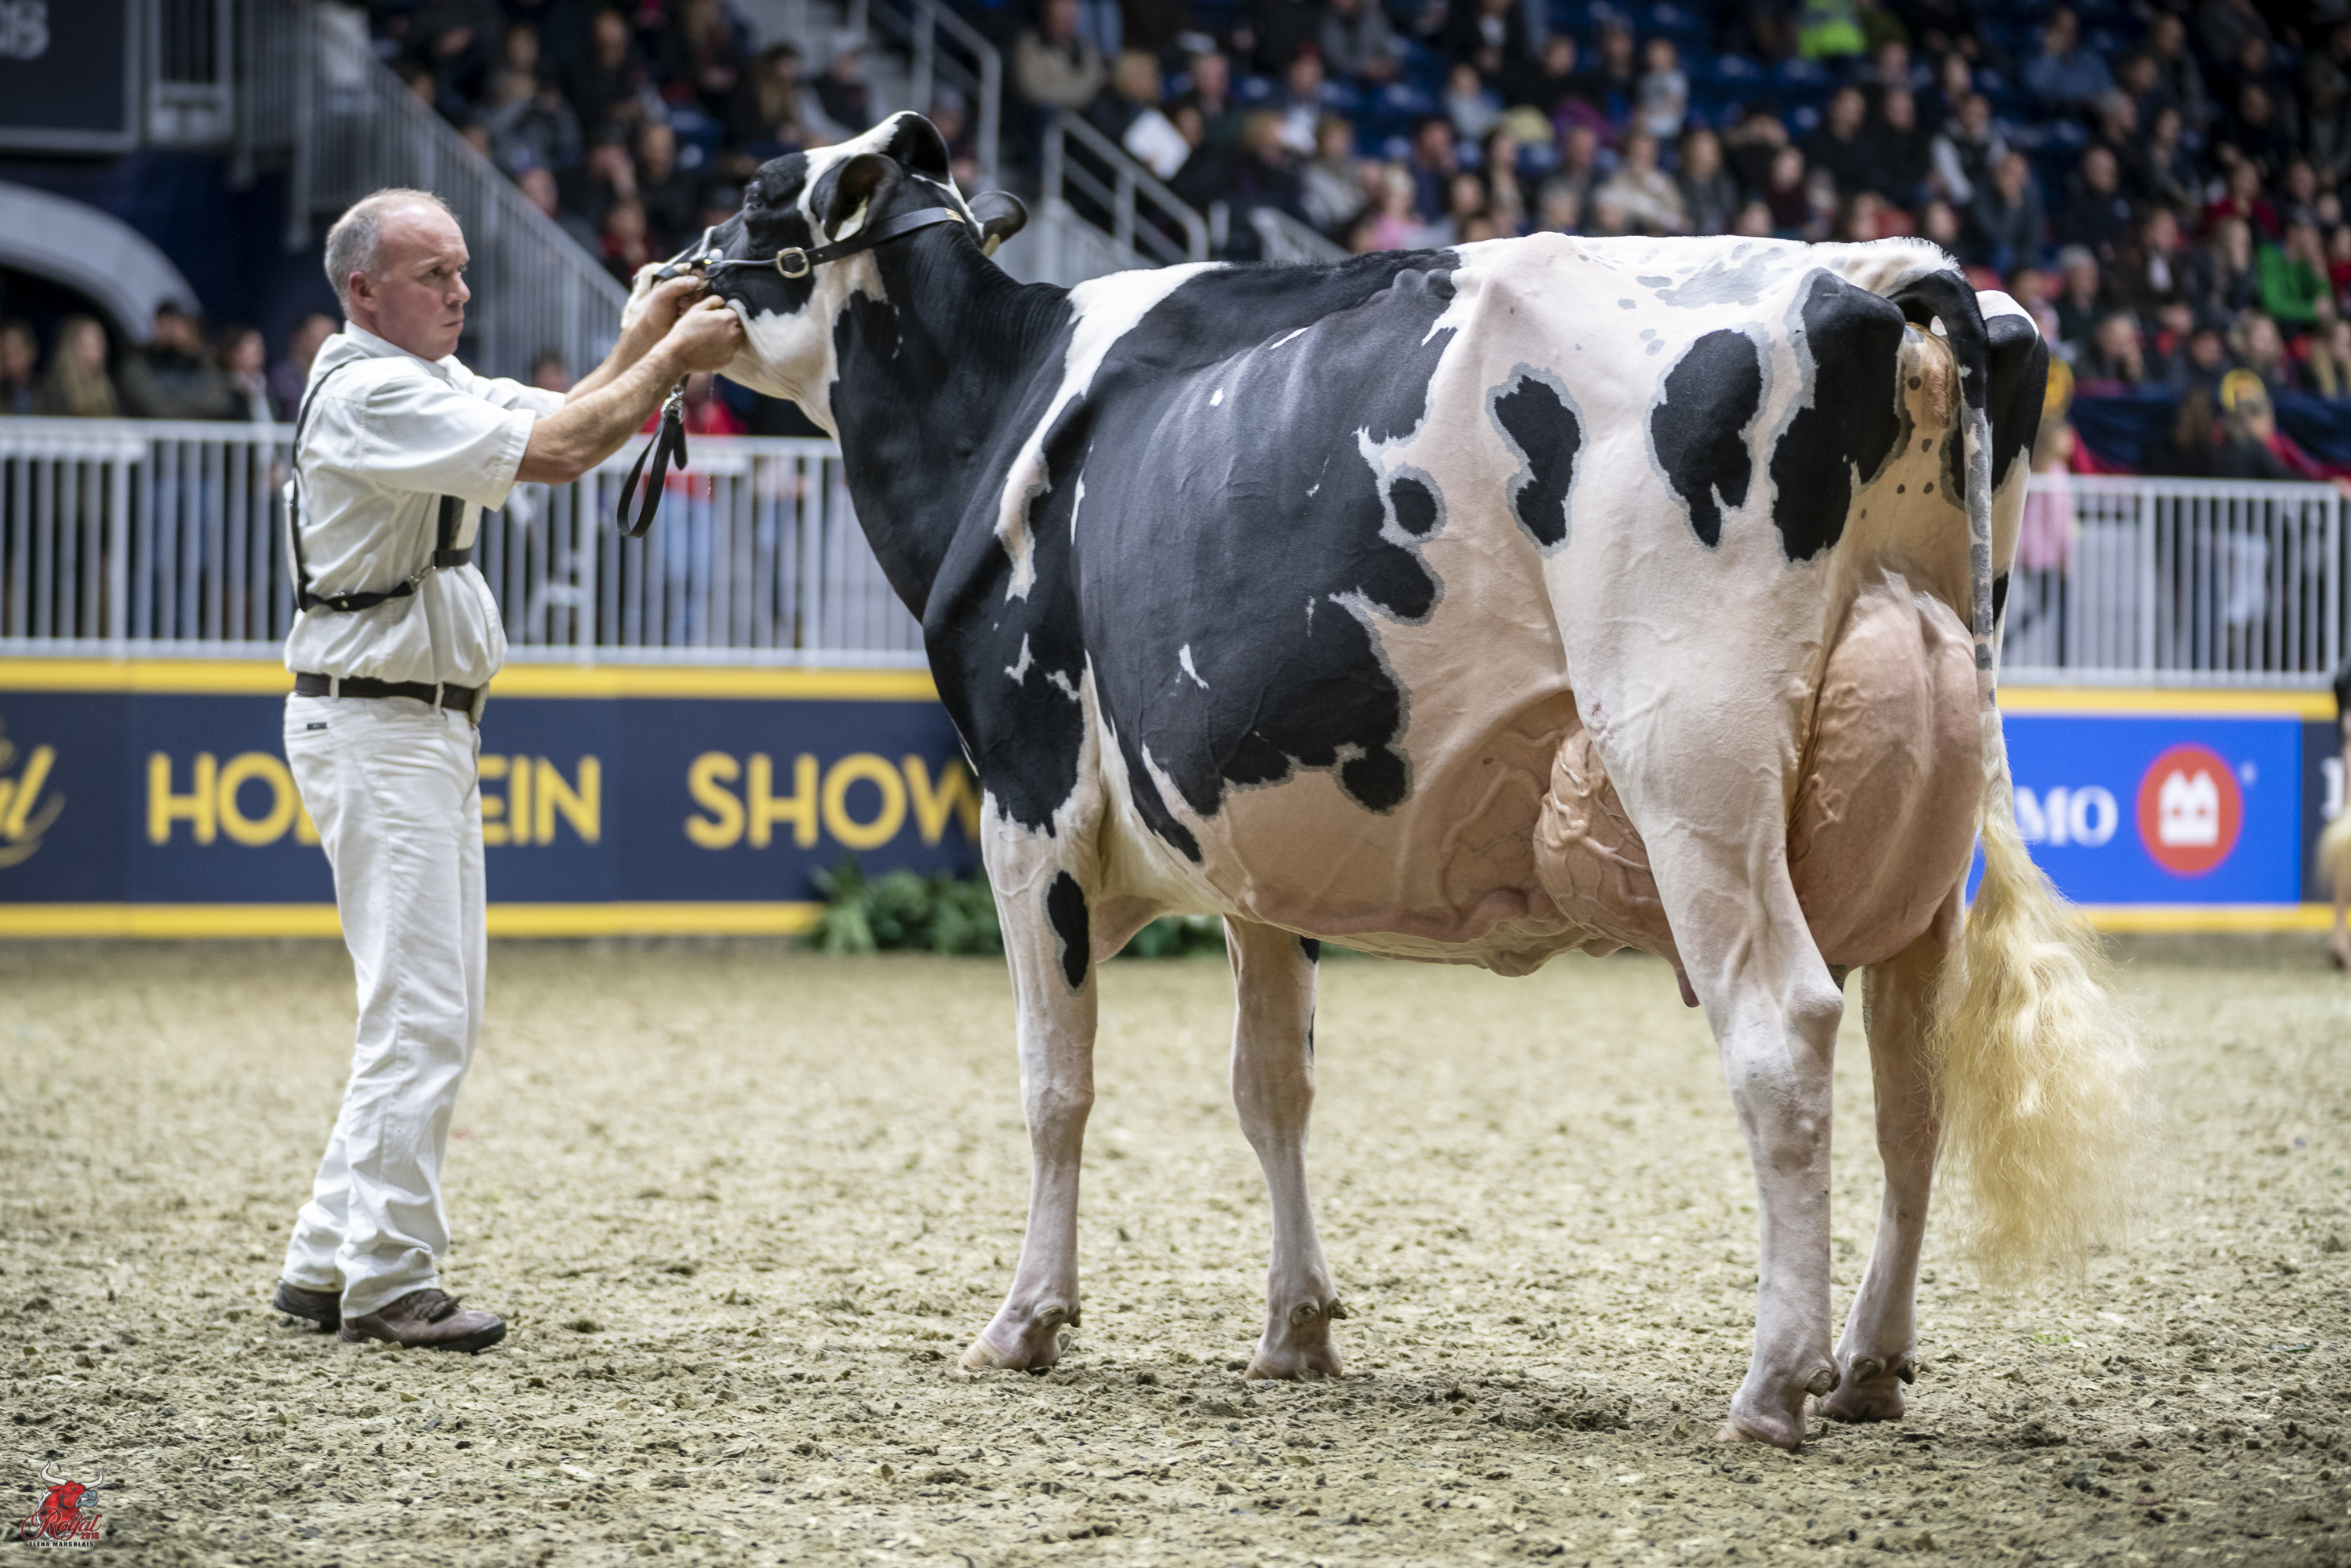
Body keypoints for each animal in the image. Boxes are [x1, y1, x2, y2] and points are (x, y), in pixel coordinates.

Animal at [655, 112, 2150, 1447]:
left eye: (756, 191)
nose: (665, 271)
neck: (995, 396)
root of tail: (1881, 274)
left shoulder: (1026, 803)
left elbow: (1052, 1081)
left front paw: (1026, 1321)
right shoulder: (1251, 844)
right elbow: (1271, 1085)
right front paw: (1294, 1331)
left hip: (1690, 753)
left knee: (1782, 1031)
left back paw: (1772, 1385)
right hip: (1924, 806)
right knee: (1912, 1082)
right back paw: (1868, 1366)